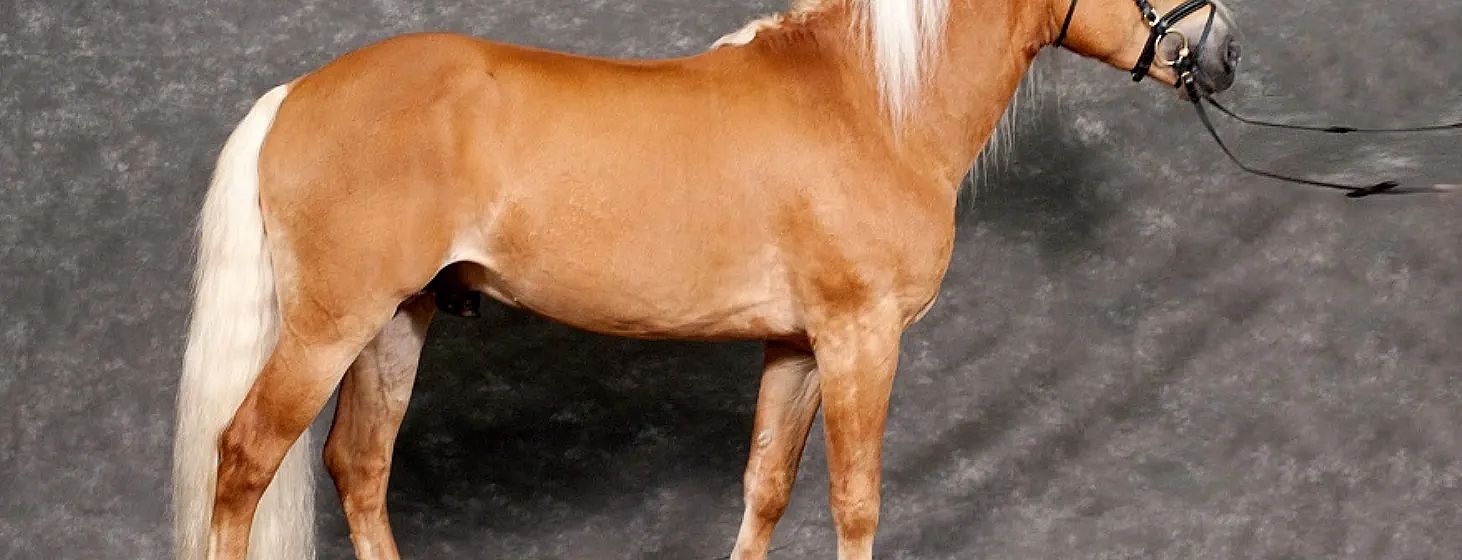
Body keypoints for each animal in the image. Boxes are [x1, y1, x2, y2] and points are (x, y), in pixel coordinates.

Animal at [172, 0, 1240, 558]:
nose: (1226, 50)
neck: (872, 105)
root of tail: (293, 98)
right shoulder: (861, 339)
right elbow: (855, 498)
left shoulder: (797, 346)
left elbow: (766, 486)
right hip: (330, 327)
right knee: (246, 458)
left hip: (398, 321)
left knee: (358, 466)